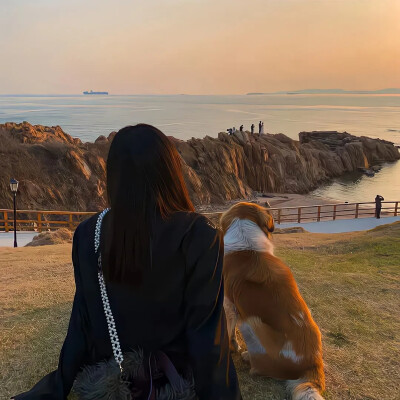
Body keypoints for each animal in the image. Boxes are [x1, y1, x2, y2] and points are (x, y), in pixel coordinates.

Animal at [222, 203, 324, 400]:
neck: (246, 246)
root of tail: (312, 366)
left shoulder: (230, 305)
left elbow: (230, 332)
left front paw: (232, 347)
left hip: (250, 323)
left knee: (257, 369)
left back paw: (247, 356)